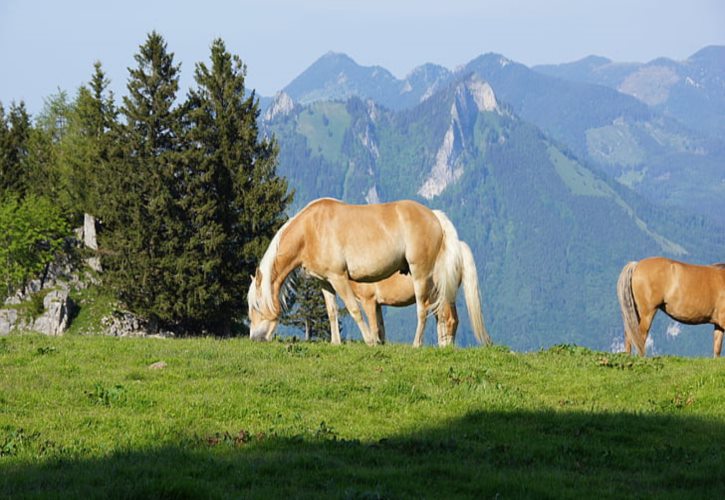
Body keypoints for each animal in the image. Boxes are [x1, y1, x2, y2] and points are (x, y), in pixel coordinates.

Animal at [247, 197, 464, 346]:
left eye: (256, 305)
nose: (255, 338)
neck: (310, 230)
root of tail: (435, 216)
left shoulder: (339, 277)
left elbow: (354, 310)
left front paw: (370, 341)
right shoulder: (325, 281)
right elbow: (332, 311)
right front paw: (336, 342)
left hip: (420, 274)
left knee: (423, 309)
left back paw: (416, 345)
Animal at [322, 240, 492, 346]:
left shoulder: (368, 300)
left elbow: (374, 326)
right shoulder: (377, 304)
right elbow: (381, 328)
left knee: (450, 319)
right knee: (445, 320)